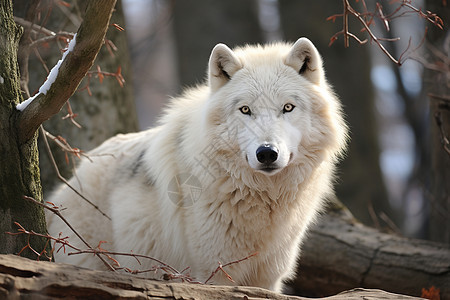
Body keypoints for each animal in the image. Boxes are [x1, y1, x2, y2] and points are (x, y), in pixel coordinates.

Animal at [46, 36, 348, 292]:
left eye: (287, 108)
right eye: (245, 110)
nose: (267, 153)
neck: (263, 199)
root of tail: (68, 183)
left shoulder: (267, 280)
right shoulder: (213, 274)